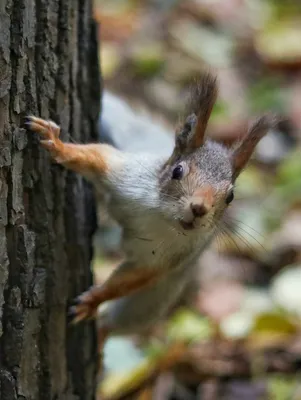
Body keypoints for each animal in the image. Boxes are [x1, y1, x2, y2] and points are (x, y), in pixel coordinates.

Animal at [24, 73, 276, 348]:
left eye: (230, 196)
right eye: (178, 171)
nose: (198, 208)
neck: (162, 218)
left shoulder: (167, 257)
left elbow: (132, 278)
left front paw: (93, 300)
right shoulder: (127, 176)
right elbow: (93, 157)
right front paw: (57, 144)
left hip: (155, 300)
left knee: (118, 321)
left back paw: (102, 334)